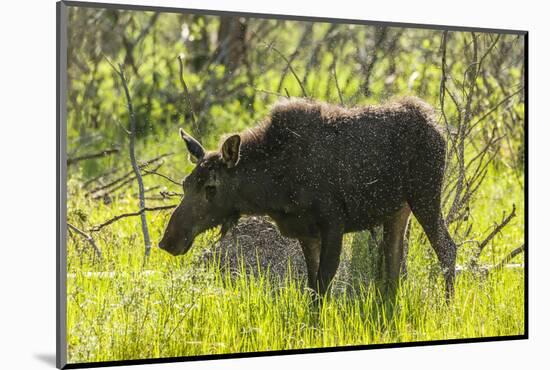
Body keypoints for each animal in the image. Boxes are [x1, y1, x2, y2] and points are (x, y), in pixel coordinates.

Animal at [158, 97, 458, 298]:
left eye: (211, 187)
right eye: (185, 184)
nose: (168, 240)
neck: (273, 189)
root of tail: (436, 124)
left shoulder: (334, 223)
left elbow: (324, 283)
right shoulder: (306, 231)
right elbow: (312, 286)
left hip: (426, 195)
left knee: (447, 248)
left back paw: (447, 305)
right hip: (398, 211)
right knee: (394, 264)